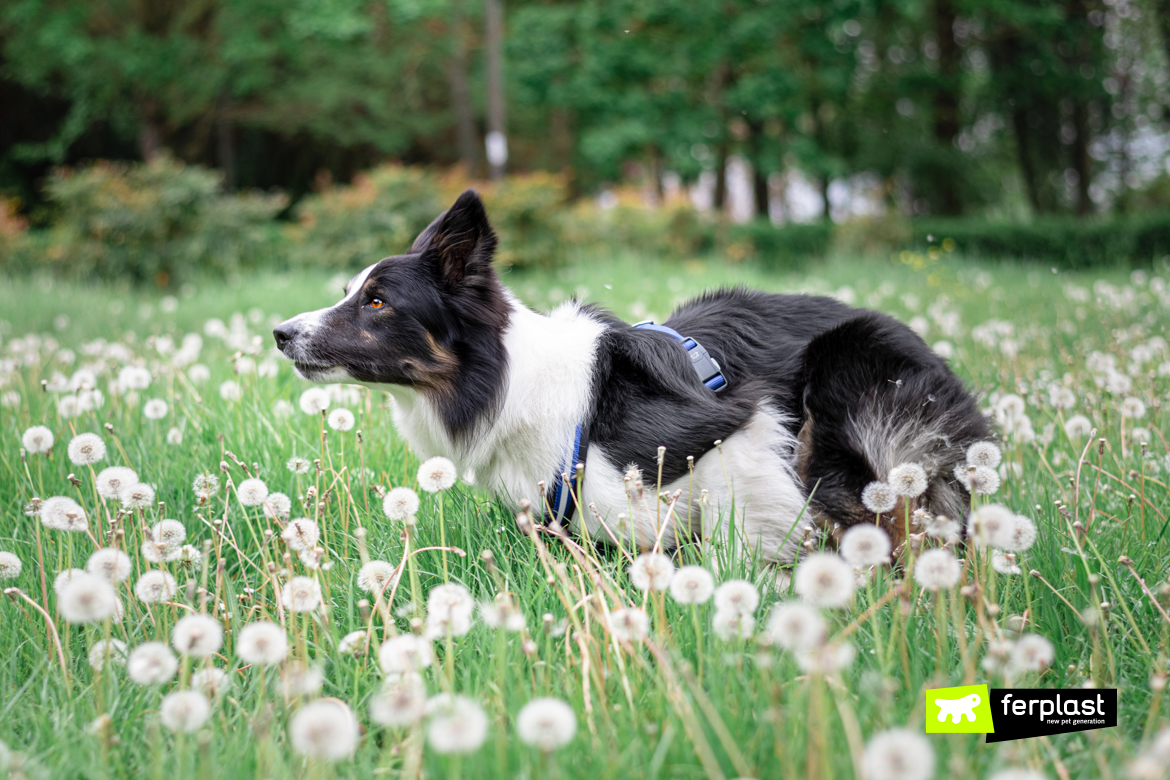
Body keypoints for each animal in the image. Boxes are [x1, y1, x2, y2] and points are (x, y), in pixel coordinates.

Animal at [273, 191, 987, 563]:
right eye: (351, 292)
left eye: (376, 302)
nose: (281, 333)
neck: (514, 384)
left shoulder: (739, 426)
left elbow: (739, 527)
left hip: (846, 375)